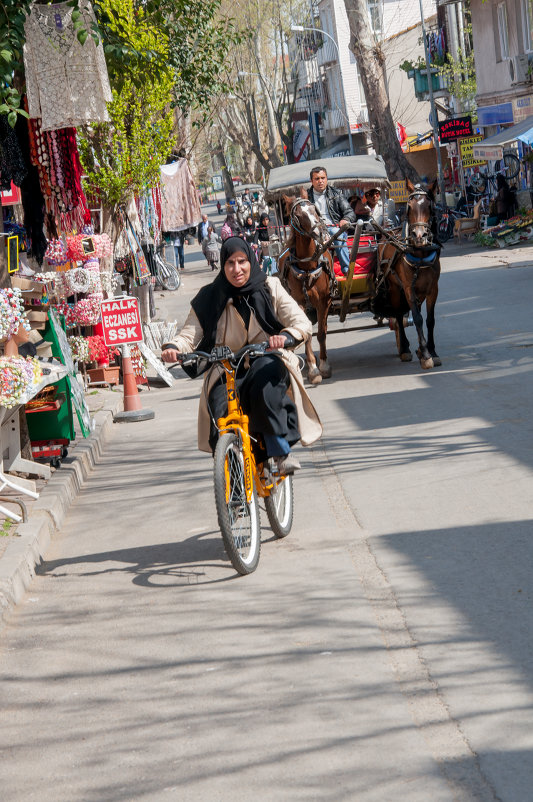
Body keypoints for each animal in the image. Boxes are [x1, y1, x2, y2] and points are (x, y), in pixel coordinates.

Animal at [278, 192, 332, 382]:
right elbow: (306, 333)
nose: (320, 232)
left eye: (314, 209)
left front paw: (323, 365)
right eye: (298, 215)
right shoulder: (299, 304)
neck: (308, 266)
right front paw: (313, 369)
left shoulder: (323, 302)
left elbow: (322, 333)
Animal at [376, 178, 442, 368]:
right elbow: (418, 318)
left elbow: (430, 320)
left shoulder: (433, 288)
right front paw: (426, 355)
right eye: (410, 207)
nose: (419, 236)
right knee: (398, 314)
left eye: (429, 206)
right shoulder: (407, 288)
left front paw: (431, 351)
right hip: (394, 289)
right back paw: (405, 348)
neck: (420, 254)